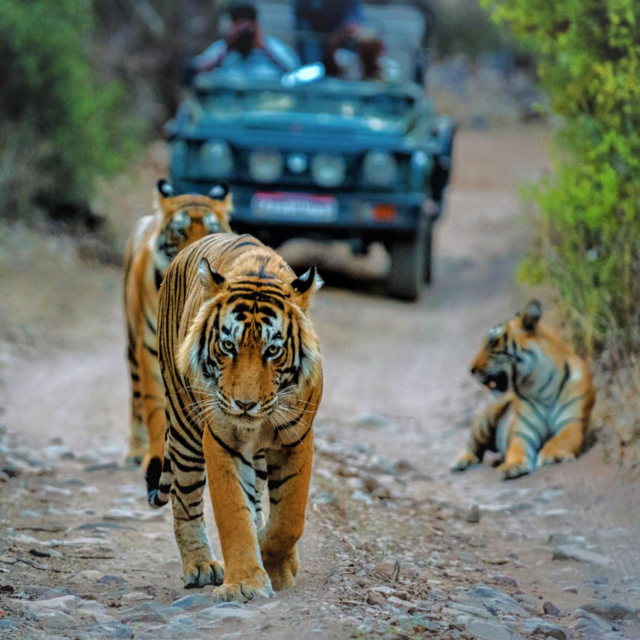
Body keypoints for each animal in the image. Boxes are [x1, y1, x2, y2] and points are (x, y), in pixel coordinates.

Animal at [123, 179, 233, 466]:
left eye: (211, 230)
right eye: (180, 232)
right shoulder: (150, 348)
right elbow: (154, 409)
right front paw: (154, 456)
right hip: (132, 343)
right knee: (136, 397)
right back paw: (135, 451)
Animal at [149, 233, 323, 602]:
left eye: (273, 350)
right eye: (228, 346)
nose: (244, 404)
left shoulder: (298, 437)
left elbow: (290, 518)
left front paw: (276, 562)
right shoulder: (221, 439)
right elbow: (233, 513)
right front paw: (245, 581)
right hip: (184, 429)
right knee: (185, 501)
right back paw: (200, 566)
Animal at [452, 300, 596, 480]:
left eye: (492, 343)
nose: (471, 370)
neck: (540, 384)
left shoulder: (571, 423)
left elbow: (559, 440)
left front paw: (553, 455)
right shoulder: (522, 432)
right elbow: (516, 449)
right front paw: (512, 466)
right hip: (487, 417)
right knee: (473, 445)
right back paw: (461, 462)